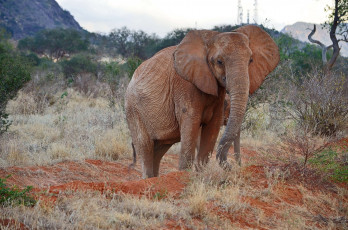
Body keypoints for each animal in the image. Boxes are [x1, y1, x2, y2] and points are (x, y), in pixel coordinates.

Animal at [125, 24, 280, 178]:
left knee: (159, 149)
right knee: (145, 146)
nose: (232, 166)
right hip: (133, 109)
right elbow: (191, 126)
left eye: (251, 60)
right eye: (219, 62)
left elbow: (212, 129)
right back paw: (147, 178)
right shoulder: (185, 87)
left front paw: (200, 175)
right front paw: (185, 175)